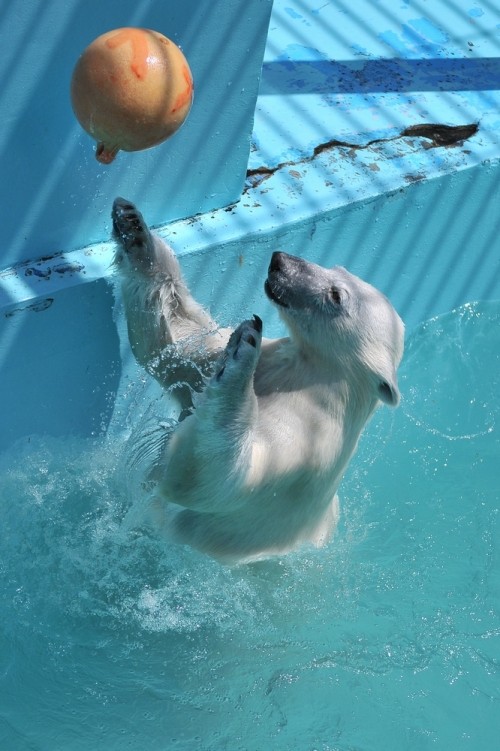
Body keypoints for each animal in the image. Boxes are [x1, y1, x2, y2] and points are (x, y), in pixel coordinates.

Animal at [111, 197, 404, 560]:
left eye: (336, 295)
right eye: (337, 268)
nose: (279, 261)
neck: (317, 375)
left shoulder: (306, 443)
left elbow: (215, 479)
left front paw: (242, 356)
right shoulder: (273, 360)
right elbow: (176, 347)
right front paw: (134, 229)